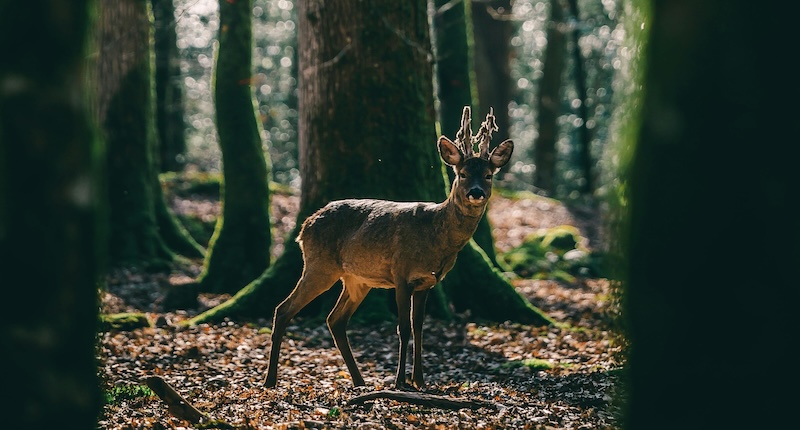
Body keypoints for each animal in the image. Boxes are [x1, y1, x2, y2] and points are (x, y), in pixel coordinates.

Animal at [262, 106, 512, 390]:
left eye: (489, 175)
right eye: (462, 174)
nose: (476, 192)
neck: (437, 238)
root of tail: (304, 227)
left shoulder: (428, 282)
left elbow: (419, 327)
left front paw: (420, 380)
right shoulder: (401, 273)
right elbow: (403, 328)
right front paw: (400, 381)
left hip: (356, 280)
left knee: (335, 319)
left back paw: (360, 381)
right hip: (320, 265)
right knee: (283, 309)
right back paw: (270, 380)